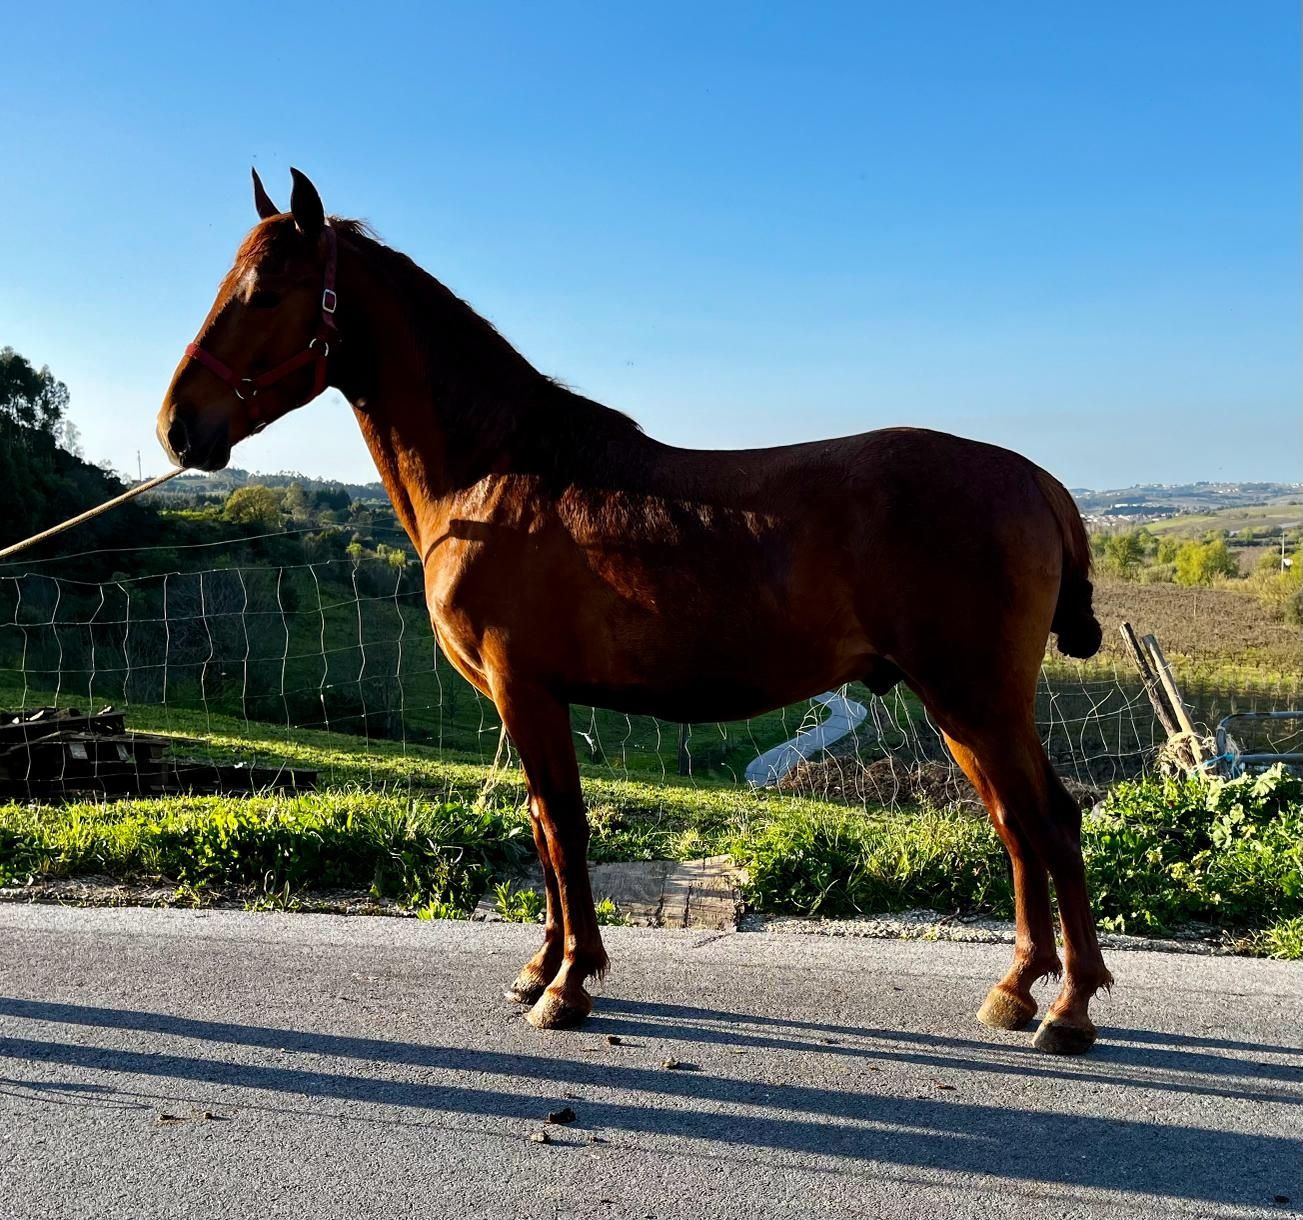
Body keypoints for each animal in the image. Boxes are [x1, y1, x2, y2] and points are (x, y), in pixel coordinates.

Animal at [152, 173, 1110, 1058]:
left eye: (264, 292)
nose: (177, 429)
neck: (496, 474)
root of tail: (1036, 481)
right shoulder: (522, 699)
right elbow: (542, 828)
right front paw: (538, 968)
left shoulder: (526, 691)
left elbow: (562, 827)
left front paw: (568, 987)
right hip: (958, 709)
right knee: (1016, 828)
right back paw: (1015, 989)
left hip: (975, 701)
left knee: (1049, 824)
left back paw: (1066, 1010)